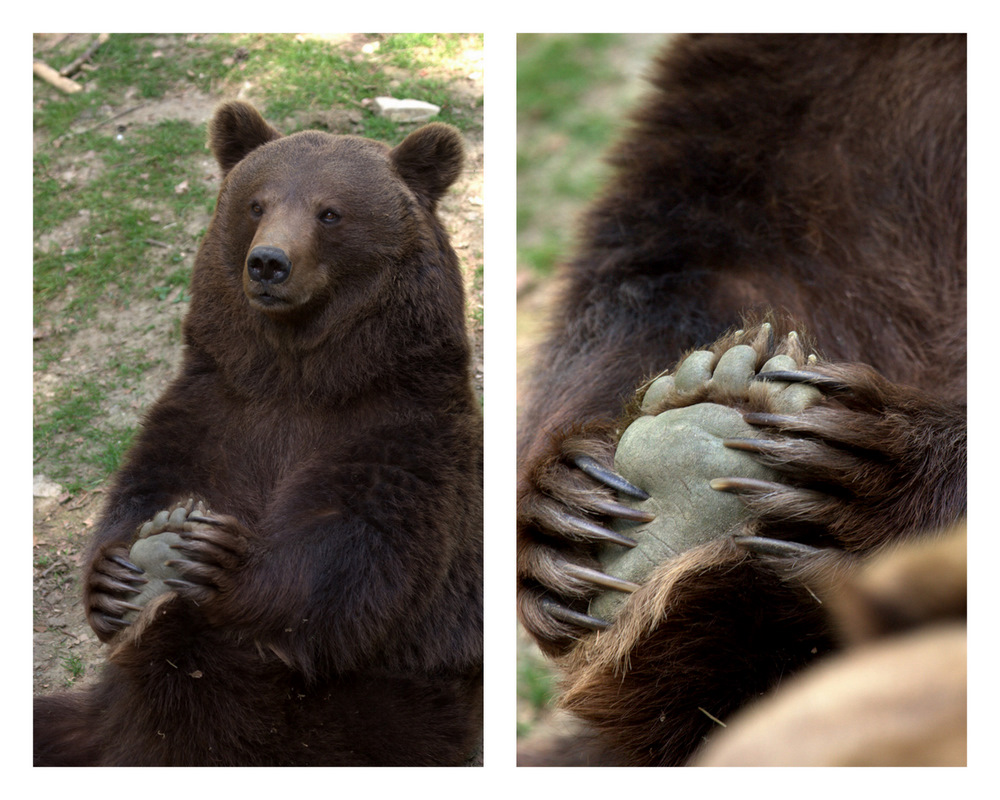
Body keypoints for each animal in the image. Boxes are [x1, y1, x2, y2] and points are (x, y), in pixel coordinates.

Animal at [33, 103, 482, 764]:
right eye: (255, 203)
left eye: (330, 211)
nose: (268, 262)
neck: (297, 376)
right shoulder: (218, 406)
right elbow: (149, 480)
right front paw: (113, 581)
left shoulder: (403, 429)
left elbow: (354, 551)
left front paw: (217, 559)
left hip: (397, 703)